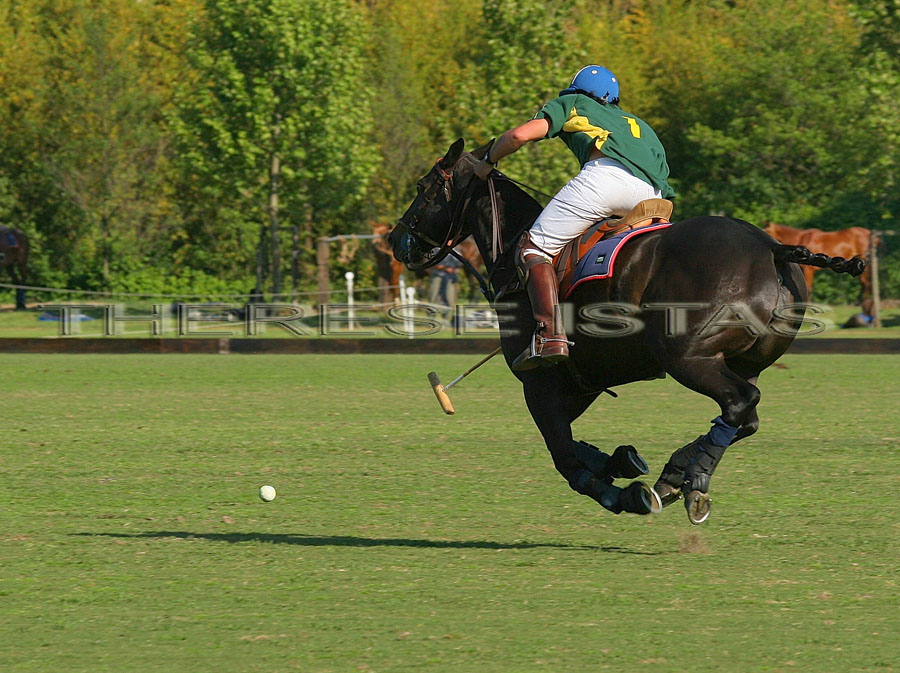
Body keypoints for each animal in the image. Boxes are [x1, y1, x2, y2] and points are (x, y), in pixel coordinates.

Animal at [388, 138, 864, 524]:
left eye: (423, 187)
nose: (395, 239)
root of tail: (771, 247)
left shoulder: (539, 378)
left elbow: (564, 455)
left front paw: (623, 492)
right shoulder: (582, 382)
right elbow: (571, 442)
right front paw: (621, 461)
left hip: (687, 356)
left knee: (740, 402)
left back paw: (690, 479)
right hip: (744, 360)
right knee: (746, 417)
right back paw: (677, 475)